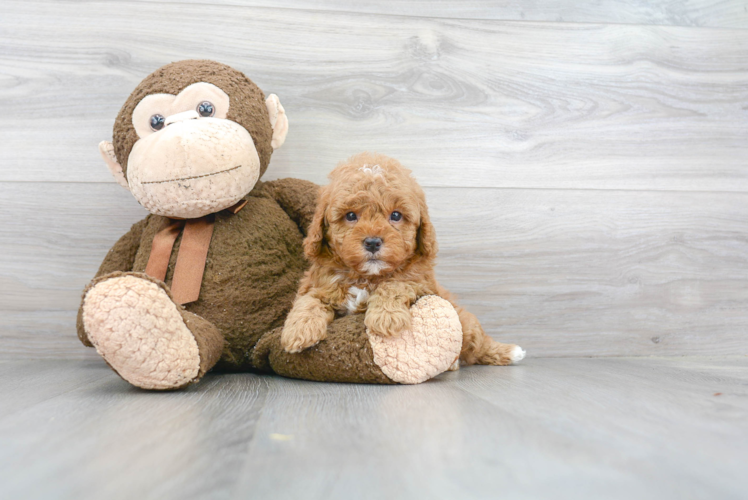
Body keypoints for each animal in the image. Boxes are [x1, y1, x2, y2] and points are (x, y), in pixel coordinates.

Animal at [282, 152, 524, 368]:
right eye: (350, 216)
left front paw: (386, 317)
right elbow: (309, 300)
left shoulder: (421, 283)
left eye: (396, 215)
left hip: (464, 322)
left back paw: (508, 352)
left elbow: (395, 284)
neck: (366, 277)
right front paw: (298, 330)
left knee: (476, 345)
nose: (372, 242)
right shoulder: (319, 284)